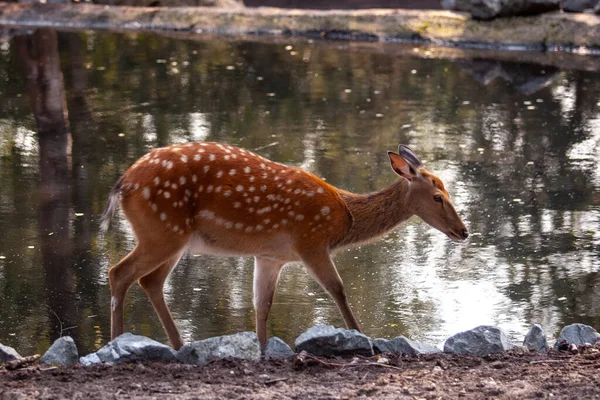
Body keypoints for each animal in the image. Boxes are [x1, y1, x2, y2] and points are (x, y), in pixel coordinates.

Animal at [101, 142, 468, 348]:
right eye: (438, 196)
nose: (464, 231)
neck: (344, 217)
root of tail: (122, 185)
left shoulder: (270, 255)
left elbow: (262, 305)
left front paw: (262, 348)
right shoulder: (310, 242)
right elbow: (338, 289)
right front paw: (363, 336)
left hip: (170, 237)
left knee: (149, 280)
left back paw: (177, 345)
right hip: (162, 231)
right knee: (119, 272)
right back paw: (116, 342)